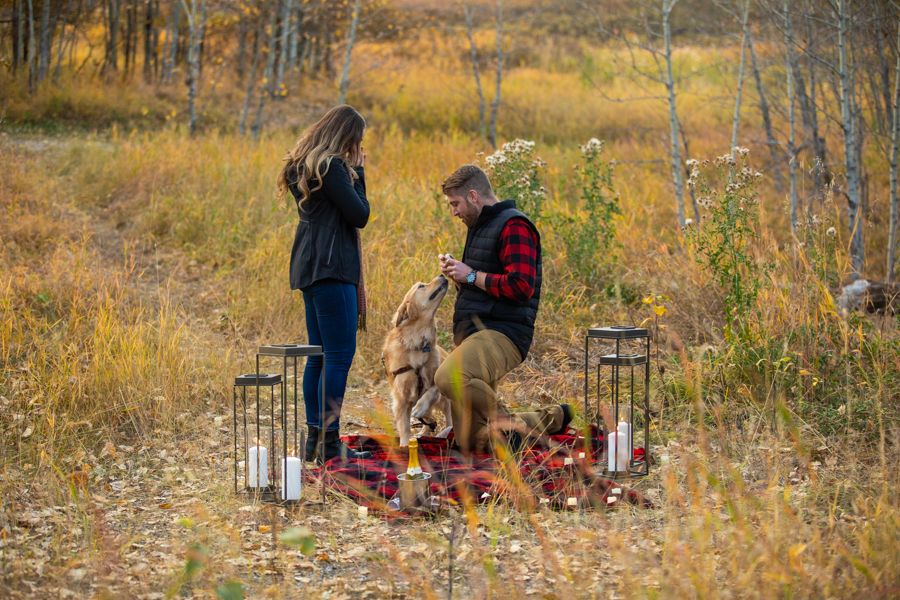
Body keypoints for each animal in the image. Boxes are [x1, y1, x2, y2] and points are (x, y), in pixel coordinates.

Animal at [382, 274, 454, 448]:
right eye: (421, 286)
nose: (442, 275)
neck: (418, 344)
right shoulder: (401, 397)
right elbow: (404, 426)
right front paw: (405, 444)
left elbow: (432, 390)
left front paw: (420, 406)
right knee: (429, 419)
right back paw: (424, 431)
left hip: (446, 401)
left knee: (448, 416)